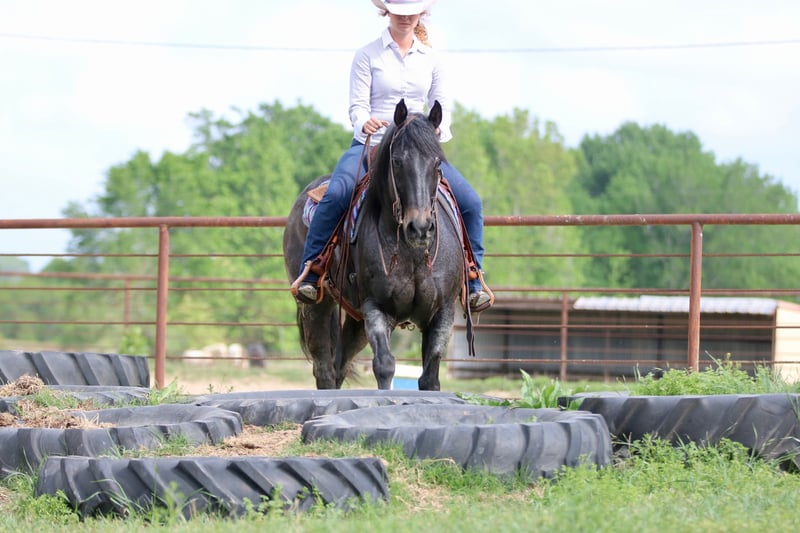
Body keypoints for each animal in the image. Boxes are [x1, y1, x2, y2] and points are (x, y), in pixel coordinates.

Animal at [283, 99, 465, 391]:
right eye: (397, 161)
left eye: (438, 162)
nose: (419, 227)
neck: (411, 255)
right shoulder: (377, 307)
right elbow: (385, 365)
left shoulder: (443, 311)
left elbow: (430, 377)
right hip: (316, 307)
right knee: (324, 369)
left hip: (355, 320)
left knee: (339, 365)